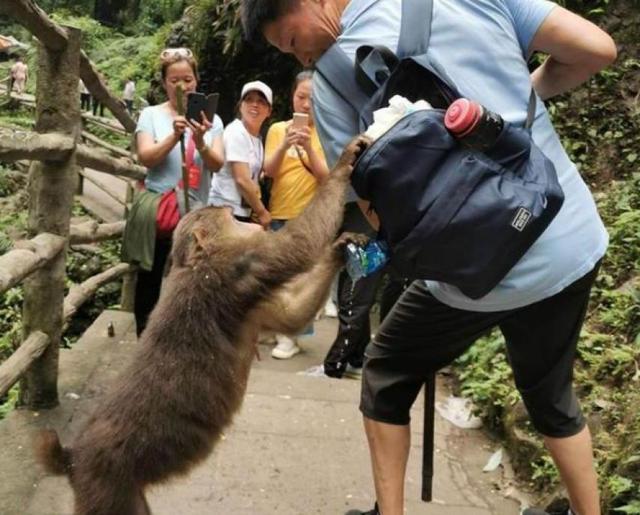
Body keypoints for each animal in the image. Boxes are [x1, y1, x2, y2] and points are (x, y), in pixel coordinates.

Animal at [35, 135, 372, 512]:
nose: (233, 207)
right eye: (220, 214)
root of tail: (72, 459)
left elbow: (291, 315)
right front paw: (345, 162)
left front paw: (341, 249)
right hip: (107, 490)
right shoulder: (241, 267)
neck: (199, 263)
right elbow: (298, 244)